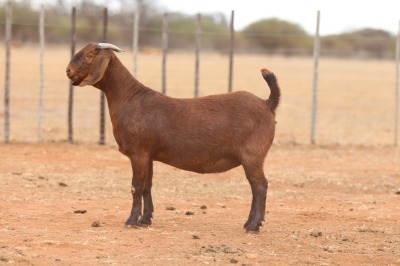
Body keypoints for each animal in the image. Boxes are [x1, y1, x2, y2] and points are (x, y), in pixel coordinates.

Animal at [66, 42, 282, 232]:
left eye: (90, 55)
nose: (68, 71)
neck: (130, 97)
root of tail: (267, 103)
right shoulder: (148, 155)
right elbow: (147, 186)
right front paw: (145, 220)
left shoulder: (138, 153)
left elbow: (136, 186)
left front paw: (131, 221)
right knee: (257, 187)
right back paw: (249, 223)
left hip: (252, 155)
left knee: (260, 186)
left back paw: (253, 225)